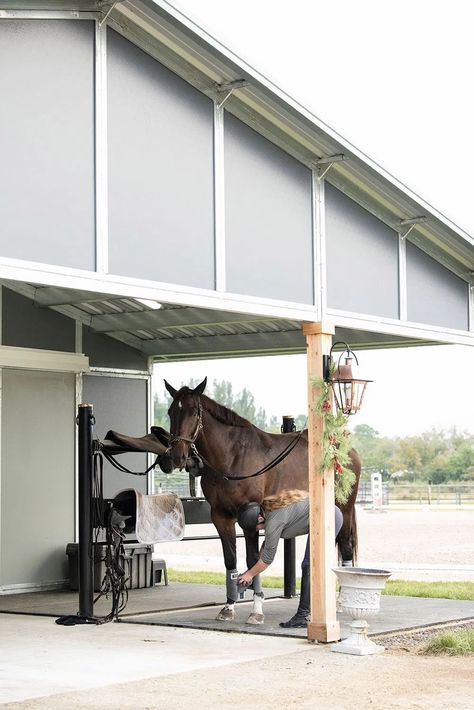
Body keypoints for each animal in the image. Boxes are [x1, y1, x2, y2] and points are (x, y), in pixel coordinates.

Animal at [165, 378, 362, 624]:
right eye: (171, 412)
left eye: (193, 411)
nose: (177, 456)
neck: (232, 457)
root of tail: (347, 449)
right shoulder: (220, 516)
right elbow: (230, 561)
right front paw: (229, 607)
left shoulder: (250, 519)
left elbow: (252, 561)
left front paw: (256, 610)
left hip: (344, 509)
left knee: (345, 547)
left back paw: (343, 603)